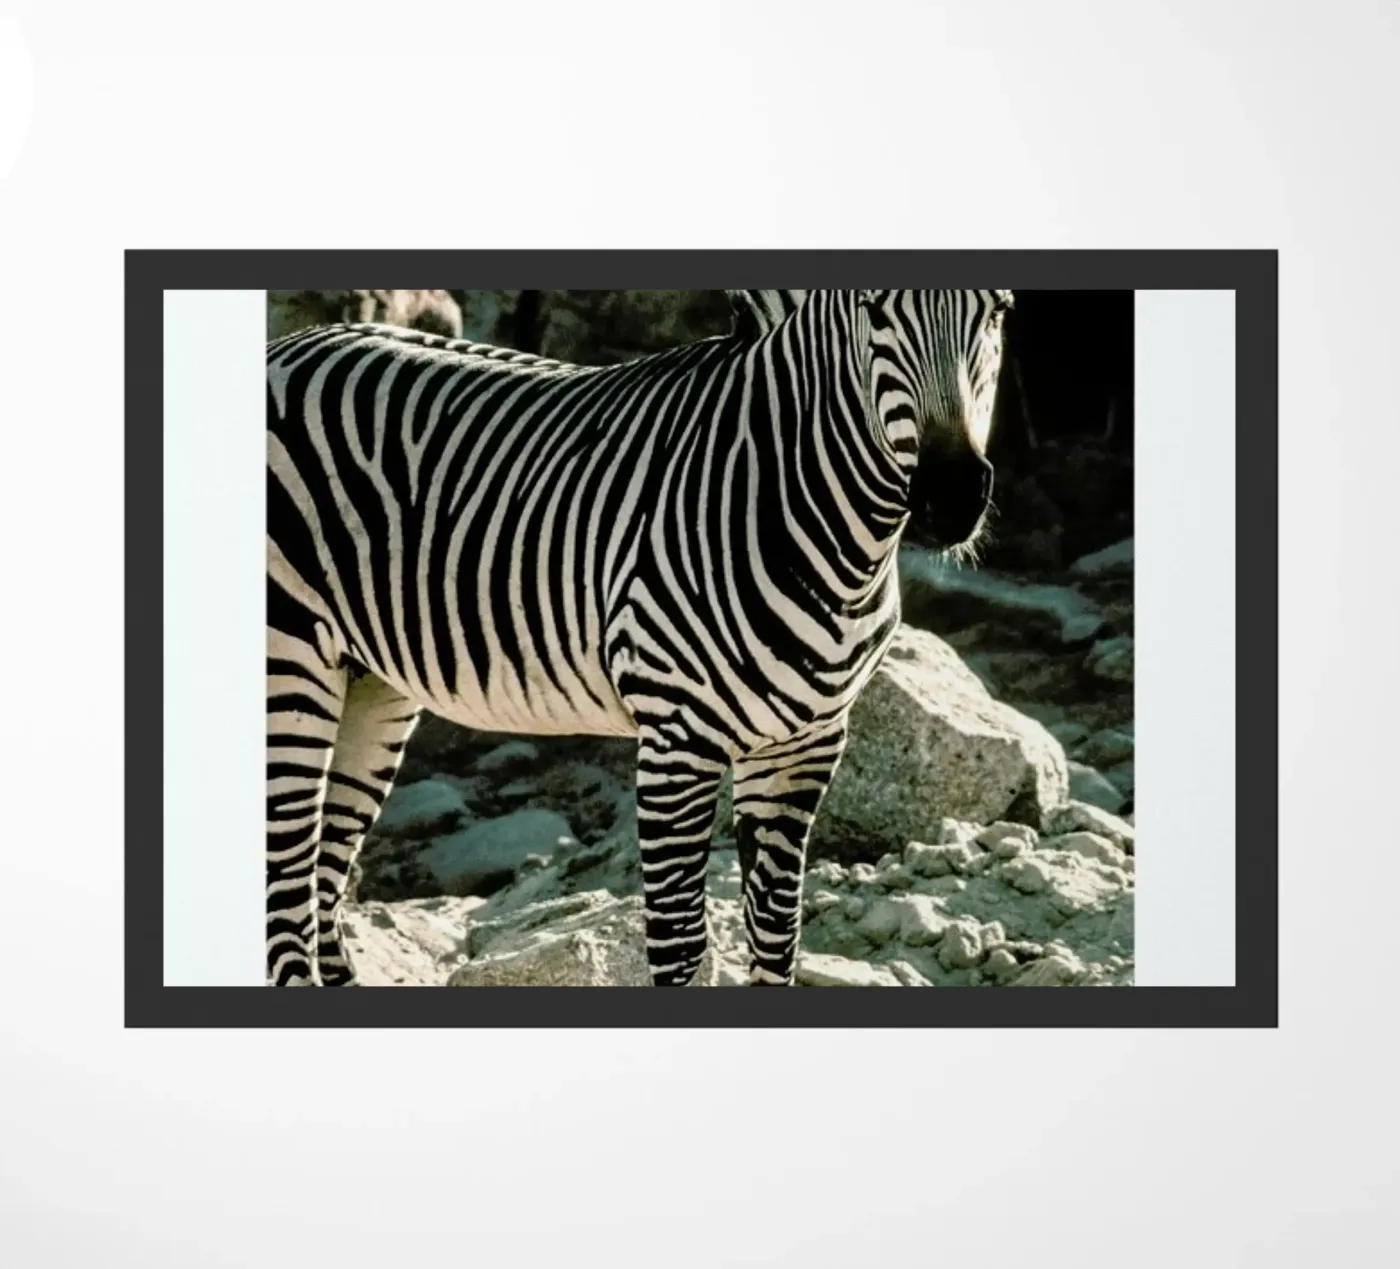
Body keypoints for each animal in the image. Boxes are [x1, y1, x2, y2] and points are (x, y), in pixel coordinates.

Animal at [266, 288, 1014, 988]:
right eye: (870, 307)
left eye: (998, 312)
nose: (951, 496)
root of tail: (290, 344)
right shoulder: (677, 741)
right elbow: (681, 947)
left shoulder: (805, 743)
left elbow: (778, 935)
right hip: (291, 665)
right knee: (286, 893)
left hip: (371, 681)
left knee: (322, 882)